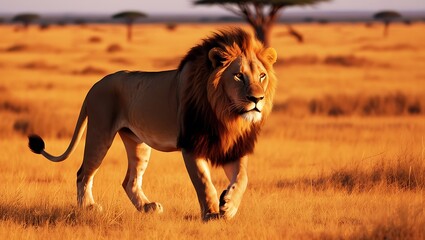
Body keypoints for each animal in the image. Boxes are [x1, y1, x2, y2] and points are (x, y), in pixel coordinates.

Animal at [28, 27, 276, 221]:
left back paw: (148, 208)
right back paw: (88, 208)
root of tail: (95, 85)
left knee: (129, 180)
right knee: (83, 173)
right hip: (100, 131)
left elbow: (243, 178)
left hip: (137, 142)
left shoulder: (232, 147)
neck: (226, 114)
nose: (257, 99)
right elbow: (204, 182)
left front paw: (229, 207)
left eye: (262, 76)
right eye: (238, 76)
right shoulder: (191, 145)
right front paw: (211, 214)